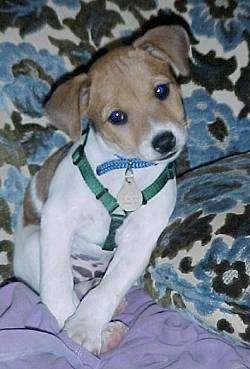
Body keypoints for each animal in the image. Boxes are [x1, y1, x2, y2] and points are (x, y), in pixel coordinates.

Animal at [13, 25, 189, 354]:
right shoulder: (58, 218)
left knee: (92, 286)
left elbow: (109, 287)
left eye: (161, 90)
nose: (165, 141)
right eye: (117, 117)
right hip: (34, 244)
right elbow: (56, 286)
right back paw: (105, 334)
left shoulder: (141, 239)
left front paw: (86, 324)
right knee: (62, 287)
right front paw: (76, 329)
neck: (126, 171)